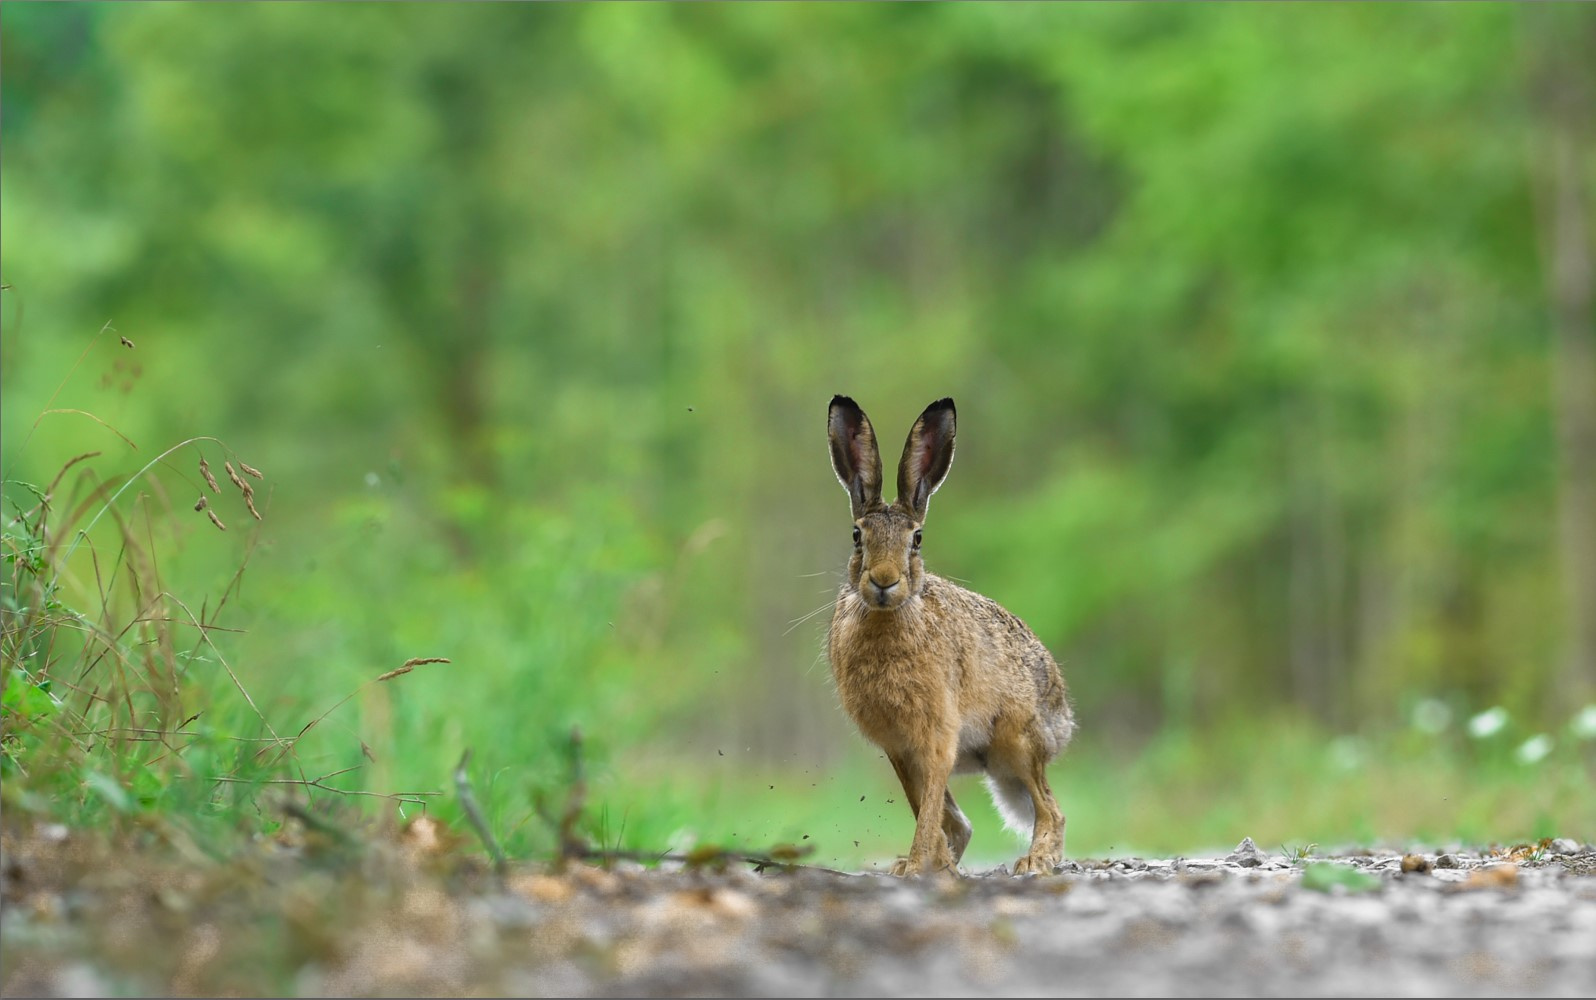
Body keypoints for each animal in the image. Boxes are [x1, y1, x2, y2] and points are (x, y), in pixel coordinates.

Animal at [826, 395, 1074, 877]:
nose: (884, 581)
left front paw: (918, 865)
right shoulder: (899, 747)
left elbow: (928, 809)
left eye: (917, 539)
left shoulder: (937, 733)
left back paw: (1035, 861)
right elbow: (929, 808)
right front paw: (921, 865)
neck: (890, 617)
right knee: (964, 822)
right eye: (857, 536)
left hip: (1018, 742)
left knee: (1051, 809)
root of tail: (1063, 719)